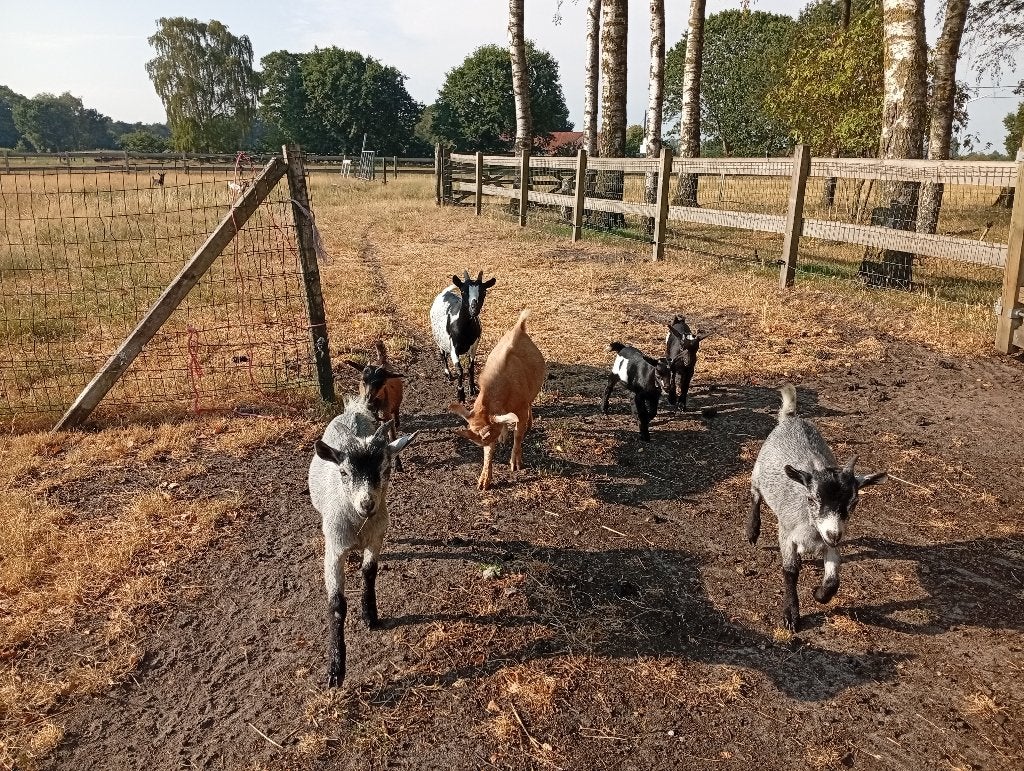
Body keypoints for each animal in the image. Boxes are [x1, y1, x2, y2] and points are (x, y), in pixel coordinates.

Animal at [308, 395, 417, 686]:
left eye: (386, 468)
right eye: (344, 473)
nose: (367, 504)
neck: (358, 526)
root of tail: (354, 410)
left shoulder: (376, 538)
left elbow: (369, 572)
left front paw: (370, 615)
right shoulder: (334, 549)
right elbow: (336, 604)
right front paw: (336, 670)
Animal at [345, 341, 406, 470]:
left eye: (381, 383)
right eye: (363, 381)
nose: (368, 400)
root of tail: (381, 360)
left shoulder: (386, 415)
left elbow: (392, 437)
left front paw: (398, 464)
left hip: (397, 401)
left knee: (396, 410)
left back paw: (397, 422)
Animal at [430, 270, 496, 402]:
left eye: (484, 291)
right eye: (463, 291)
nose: (473, 310)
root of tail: (445, 293)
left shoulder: (474, 346)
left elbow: (471, 367)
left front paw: (472, 388)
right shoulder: (453, 348)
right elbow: (459, 370)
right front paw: (460, 394)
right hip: (439, 339)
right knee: (443, 355)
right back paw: (448, 373)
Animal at [450, 309, 545, 490]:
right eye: (482, 444)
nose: (494, 441)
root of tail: (519, 327)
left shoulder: (520, 408)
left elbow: (518, 435)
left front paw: (515, 465)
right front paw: (483, 483)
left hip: (533, 389)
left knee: (530, 403)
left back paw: (529, 425)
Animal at [748, 384, 887, 632]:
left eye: (854, 502)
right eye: (812, 499)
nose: (834, 534)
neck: (811, 529)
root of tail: (791, 418)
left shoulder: (830, 544)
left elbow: (833, 579)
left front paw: (818, 594)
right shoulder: (787, 534)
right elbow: (790, 570)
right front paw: (791, 615)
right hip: (758, 474)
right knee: (755, 497)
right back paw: (752, 531)